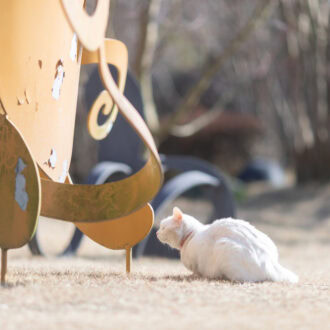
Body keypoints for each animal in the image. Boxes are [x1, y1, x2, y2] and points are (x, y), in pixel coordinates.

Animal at [156, 208, 298, 282]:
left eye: (163, 227)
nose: (156, 232)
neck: (192, 234)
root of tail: (269, 261)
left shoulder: (196, 264)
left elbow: (196, 272)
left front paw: (193, 276)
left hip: (224, 248)